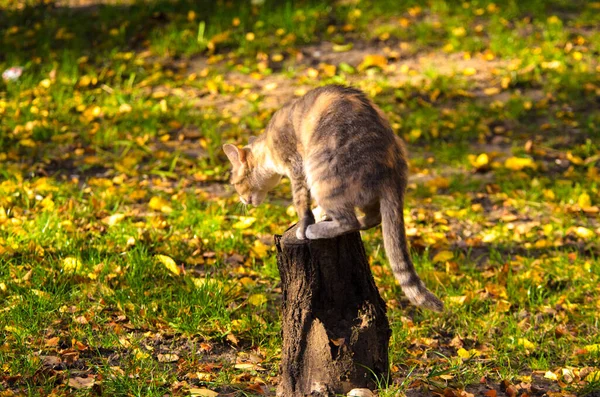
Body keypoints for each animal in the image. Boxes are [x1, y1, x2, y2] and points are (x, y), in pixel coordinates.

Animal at [223, 85, 442, 310]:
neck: (267, 148)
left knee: (349, 221)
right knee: (371, 218)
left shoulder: (296, 167)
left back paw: (315, 229)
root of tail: (392, 170)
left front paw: (305, 224)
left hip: (321, 174)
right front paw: (319, 214)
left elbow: (301, 204)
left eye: (234, 183)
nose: (242, 200)